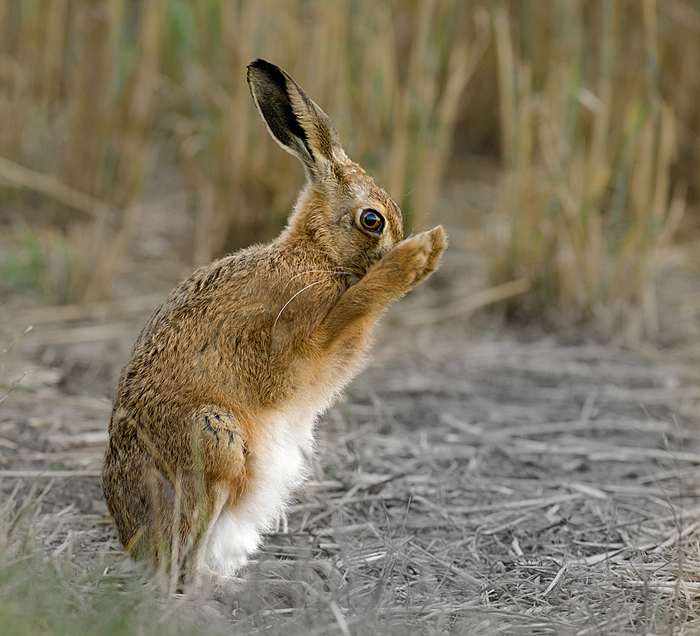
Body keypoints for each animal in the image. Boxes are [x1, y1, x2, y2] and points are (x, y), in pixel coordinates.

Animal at [101, 59, 446, 582]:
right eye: (372, 220)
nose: (403, 241)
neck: (318, 252)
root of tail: (130, 535)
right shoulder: (301, 334)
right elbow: (356, 301)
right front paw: (419, 257)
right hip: (216, 438)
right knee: (183, 558)